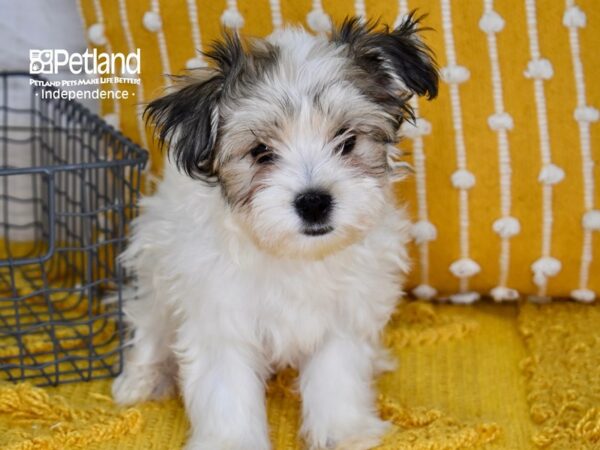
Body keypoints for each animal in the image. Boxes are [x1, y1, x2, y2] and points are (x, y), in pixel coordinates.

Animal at [112, 14, 438, 450]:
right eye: (260, 152)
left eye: (347, 140)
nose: (314, 202)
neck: (294, 255)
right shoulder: (220, 316)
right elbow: (227, 389)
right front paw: (232, 441)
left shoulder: (342, 313)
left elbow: (337, 376)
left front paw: (345, 431)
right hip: (155, 267)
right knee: (149, 322)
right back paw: (142, 379)